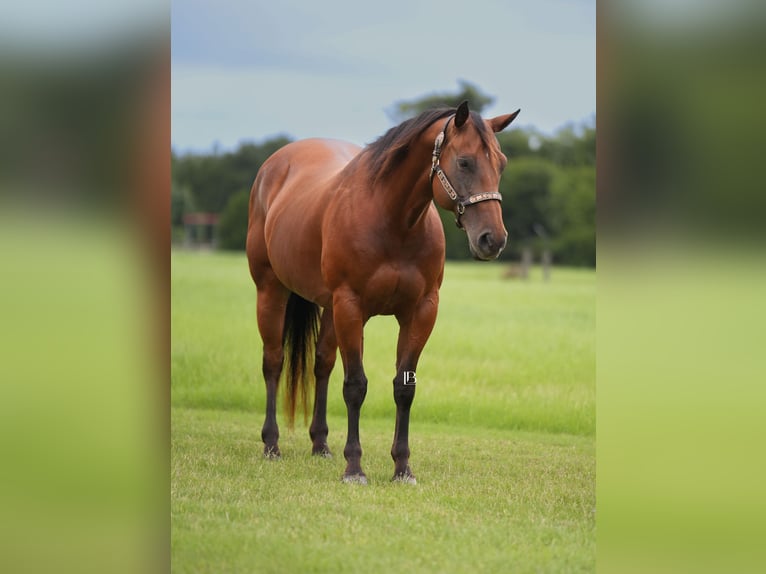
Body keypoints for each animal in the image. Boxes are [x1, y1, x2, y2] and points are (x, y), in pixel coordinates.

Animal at [246, 100, 520, 483]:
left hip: (329, 308)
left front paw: (402, 468)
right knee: (273, 362)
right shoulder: (351, 306)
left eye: (502, 163)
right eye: (465, 161)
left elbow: (404, 388)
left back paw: (321, 445)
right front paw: (354, 467)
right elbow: (355, 386)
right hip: (271, 291)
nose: (492, 239)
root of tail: (274, 166)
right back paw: (272, 445)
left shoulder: (420, 311)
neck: (392, 220)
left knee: (322, 365)